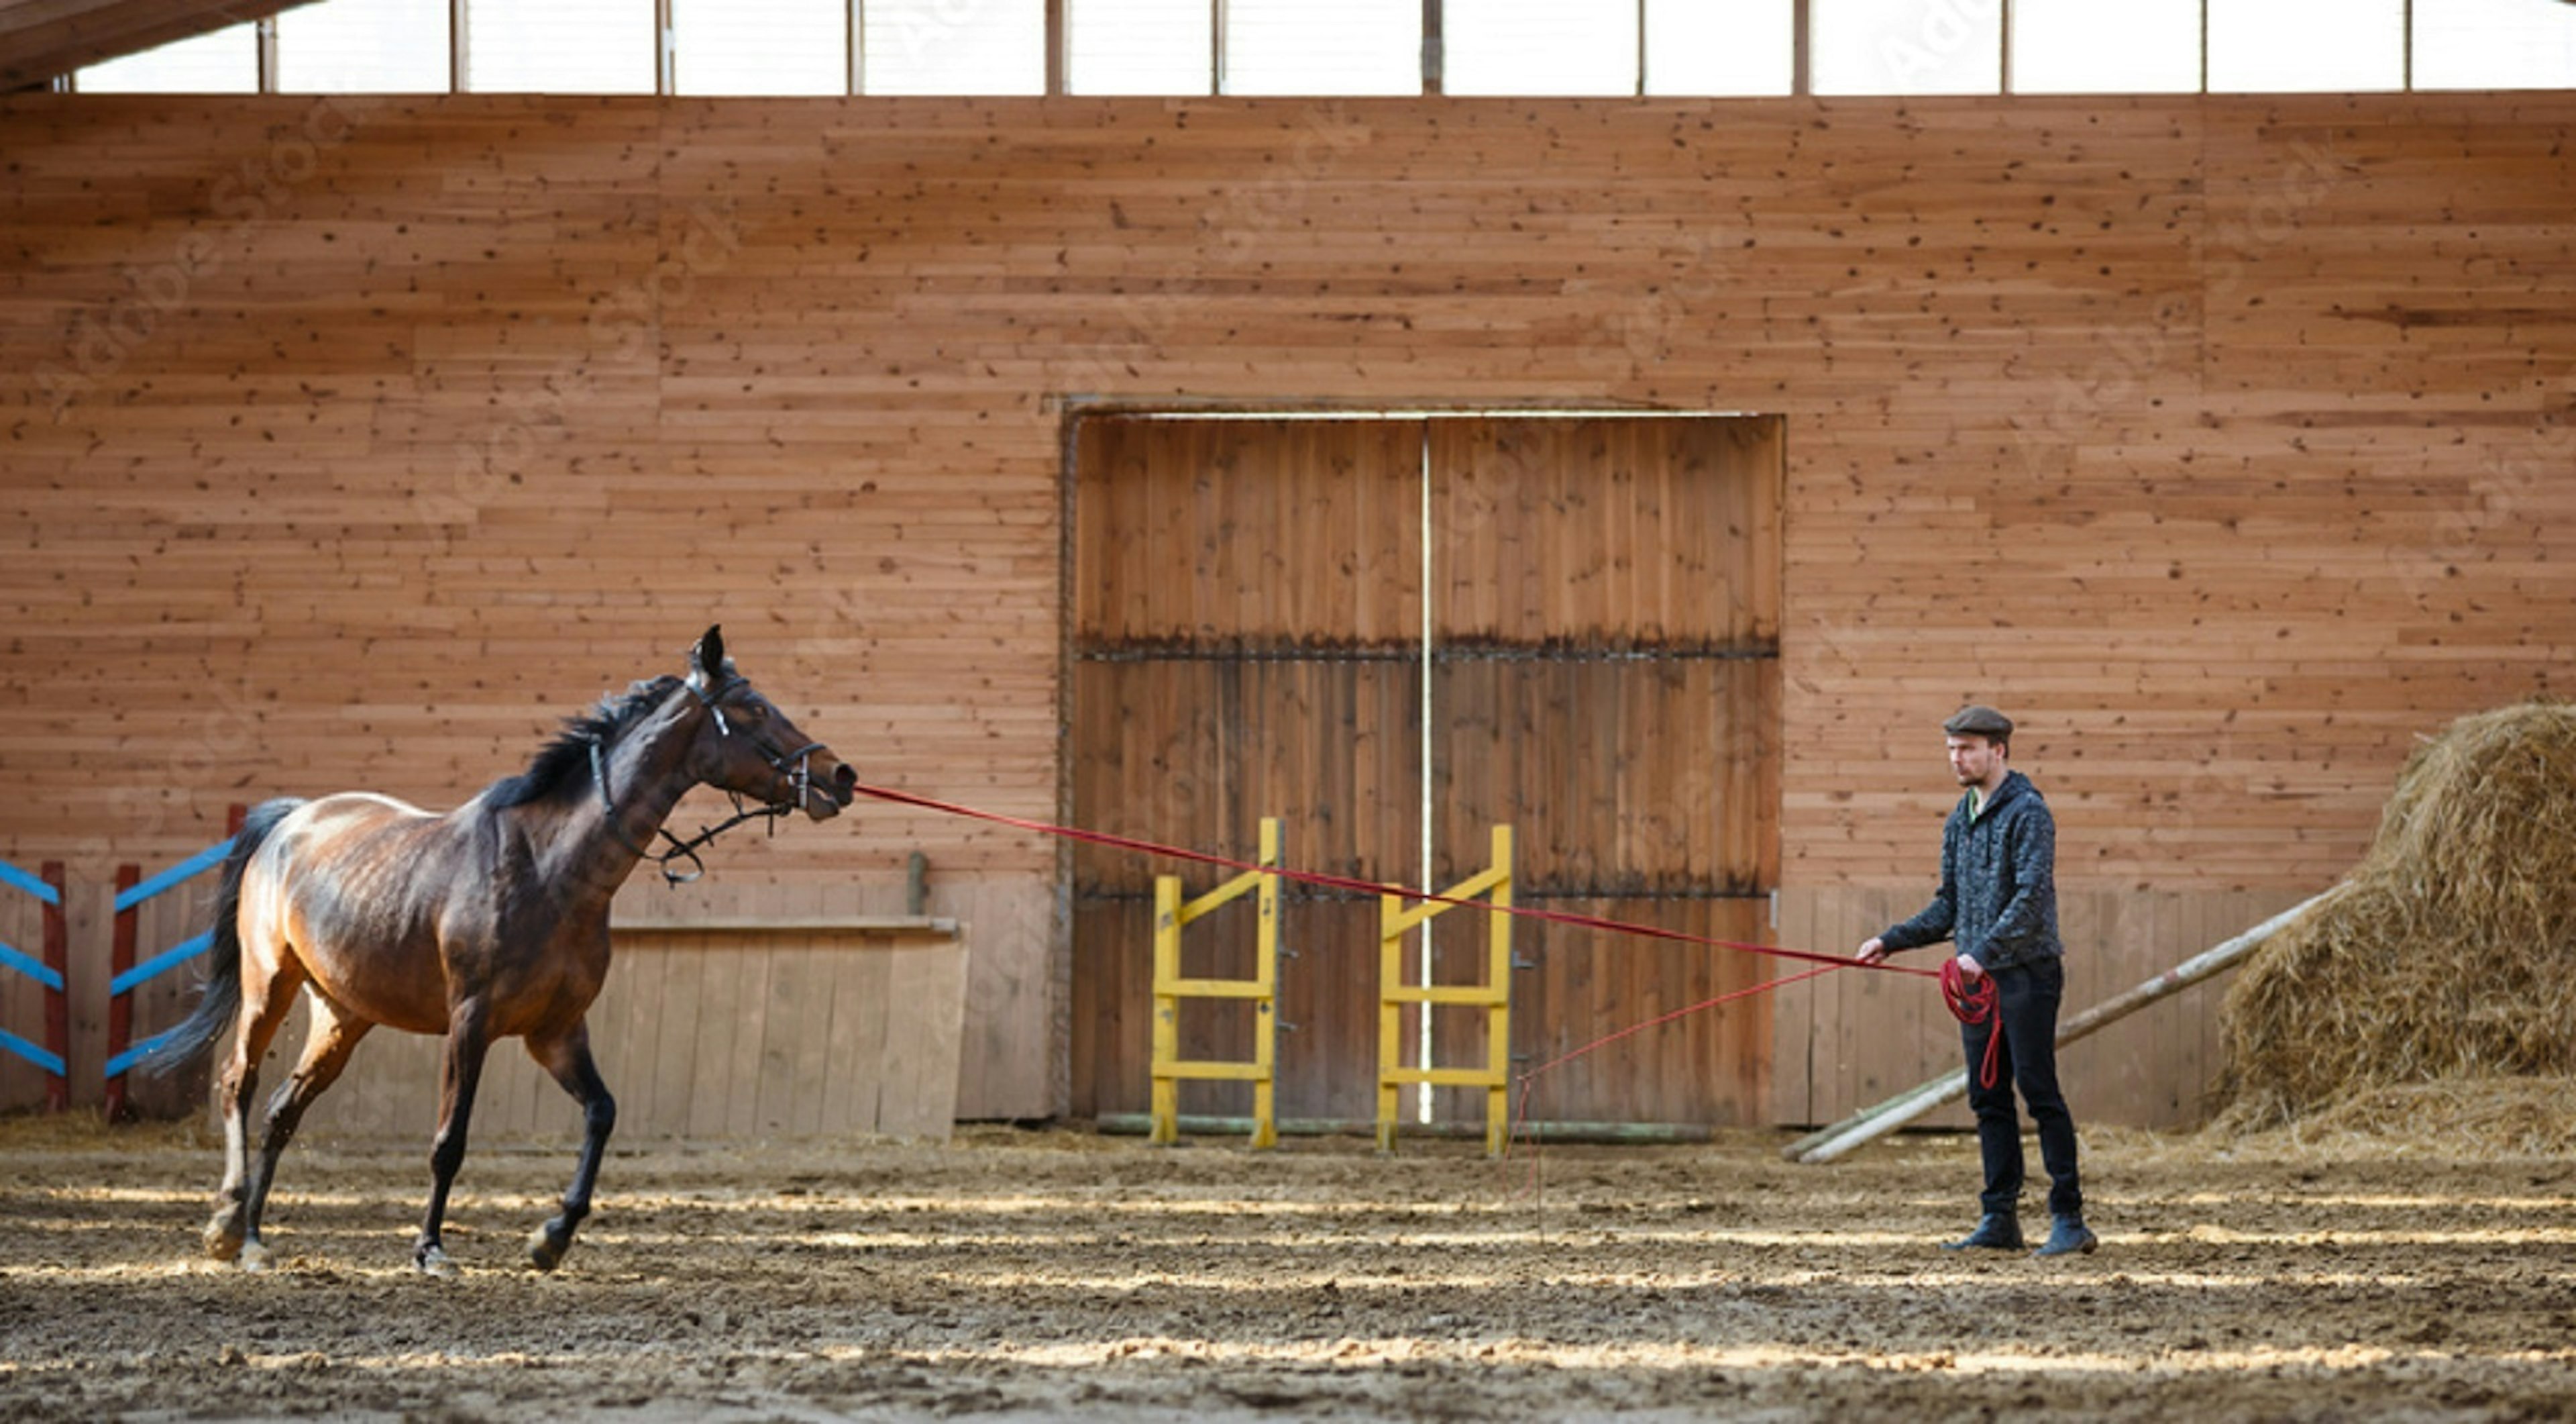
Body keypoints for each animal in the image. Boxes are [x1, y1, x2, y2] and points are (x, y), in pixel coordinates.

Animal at [144, 628, 855, 1272]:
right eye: (753, 708)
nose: (839, 775)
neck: (548, 867)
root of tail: (292, 820)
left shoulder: (556, 1030)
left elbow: (602, 1113)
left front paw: (551, 1238)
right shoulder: (471, 1022)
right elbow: (449, 1140)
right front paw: (431, 1249)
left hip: (343, 1015)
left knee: (282, 1111)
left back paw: (254, 1241)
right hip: (270, 985)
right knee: (239, 1084)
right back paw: (227, 1224)